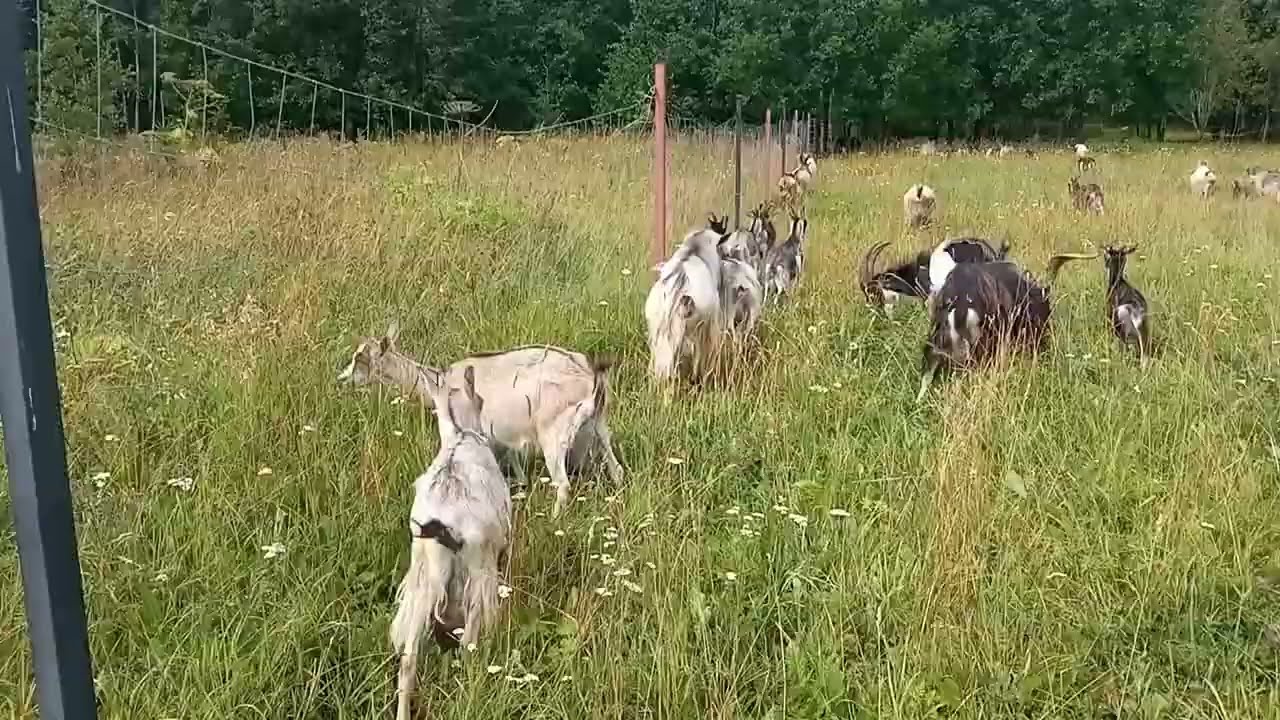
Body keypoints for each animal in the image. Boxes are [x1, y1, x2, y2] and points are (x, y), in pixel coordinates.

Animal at [338, 324, 623, 518]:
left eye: (360, 358)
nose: (342, 379)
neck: (439, 382)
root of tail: (590, 375)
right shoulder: (501, 439)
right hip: (599, 424)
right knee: (615, 467)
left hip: (553, 433)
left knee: (562, 484)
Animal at [390, 366, 512, 720]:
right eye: (480, 398)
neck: (460, 435)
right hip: (478, 575)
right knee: (468, 645)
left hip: (422, 582)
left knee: (408, 659)